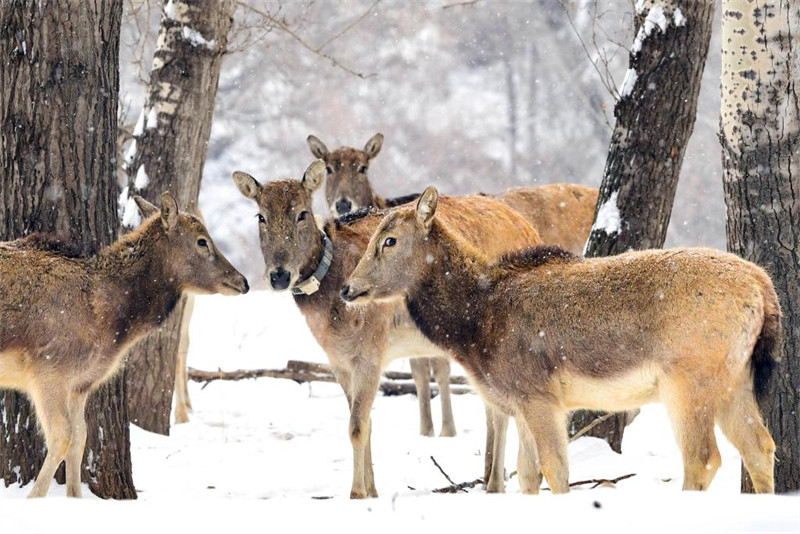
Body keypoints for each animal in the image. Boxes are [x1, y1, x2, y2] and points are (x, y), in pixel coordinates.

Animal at [0, 195, 248, 500]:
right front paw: (34, 499)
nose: (242, 281)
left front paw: (75, 498)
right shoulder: (48, 371)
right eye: (202, 241)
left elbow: (80, 438)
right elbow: (62, 436)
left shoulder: (81, 383)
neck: (112, 325)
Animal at [231, 161, 544, 500]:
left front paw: (357, 493)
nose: (279, 275)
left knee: (501, 411)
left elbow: (356, 426)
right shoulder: (338, 361)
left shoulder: (371, 349)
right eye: (260, 216)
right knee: (491, 407)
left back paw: (497, 483)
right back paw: (488, 476)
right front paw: (373, 490)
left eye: (302, 213)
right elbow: (365, 423)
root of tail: (529, 227)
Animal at [306, 133, 600, 490]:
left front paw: (444, 432)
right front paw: (428, 431)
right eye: (330, 167)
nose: (344, 204)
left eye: (362, 166)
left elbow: (440, 371)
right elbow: (424, 372)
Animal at [344, 186, 780, 496]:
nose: (348, 288)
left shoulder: (539, 395)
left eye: (389, 240)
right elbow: (527, 476)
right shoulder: (519, 403)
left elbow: (556, 471)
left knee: (703, 458)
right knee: (761, 447)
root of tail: (763, 287)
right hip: (735, 380)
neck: (476, 327)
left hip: (689, 381)